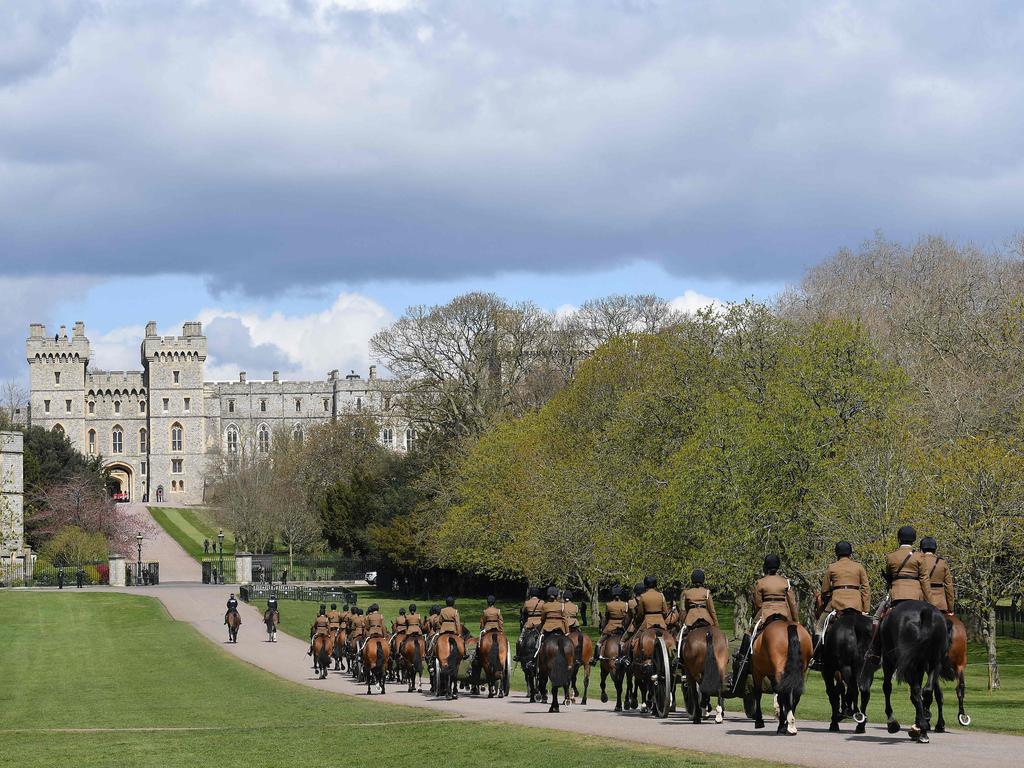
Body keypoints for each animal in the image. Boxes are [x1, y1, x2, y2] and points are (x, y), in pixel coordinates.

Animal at [860, 602, 946, 745]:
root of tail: (926, 613)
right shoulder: (920, 666)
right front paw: (918, 724)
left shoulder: (889, 662)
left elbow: (887, 688)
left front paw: (892, 722)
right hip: (934, 662)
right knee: (926, 691)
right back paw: (923, 725)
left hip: (906, 664)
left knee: (915, 693)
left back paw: (922, 729)